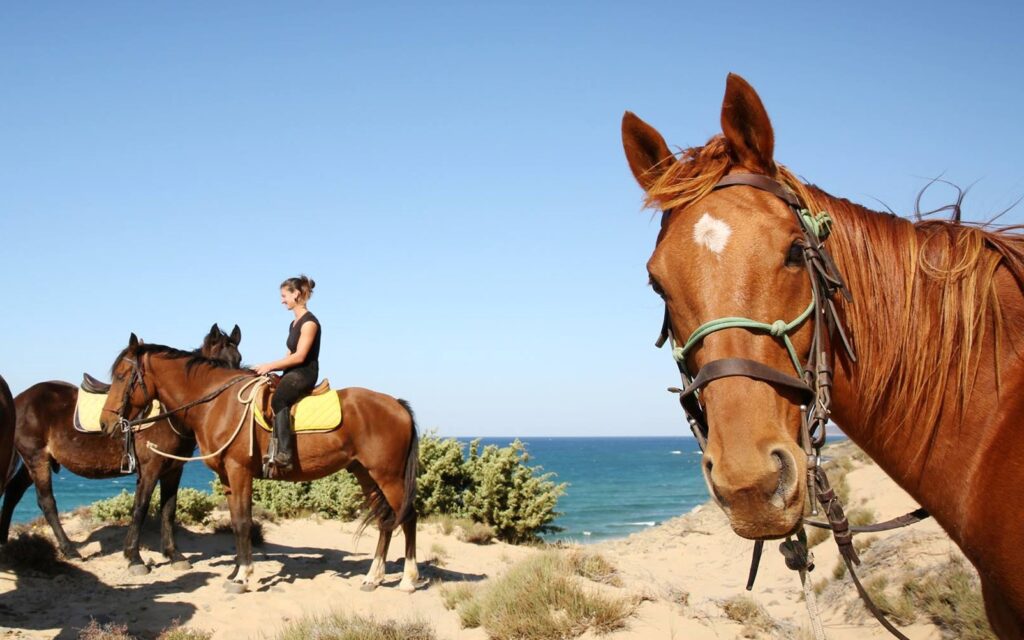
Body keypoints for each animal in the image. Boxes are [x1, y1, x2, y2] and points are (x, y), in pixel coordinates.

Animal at [0, 324, 242, 576]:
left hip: (34, 462)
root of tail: (19, 399)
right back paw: (69, 549)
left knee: (14, 492)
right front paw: (134, 557)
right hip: (37, 459)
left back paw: (4, 543)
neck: (169, 415)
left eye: (238, 359)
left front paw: (174, 554)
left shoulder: (174, 469)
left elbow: (169, 509)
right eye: (214, 366)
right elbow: (140, 508)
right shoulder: (150, 469)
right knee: (46, 502)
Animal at [99, 335, 420, 594]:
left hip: (388, 476)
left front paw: (243, 577)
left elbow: (243, 522)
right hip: (366, 474)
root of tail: (397, 405)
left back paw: (407, 580)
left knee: (408, 516)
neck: (218, 404)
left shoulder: (239, 471)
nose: (105, 424)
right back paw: (373, 578)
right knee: (385, 520)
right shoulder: (227, 477)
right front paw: (236, 572)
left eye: (122, 375)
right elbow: (236, 521)